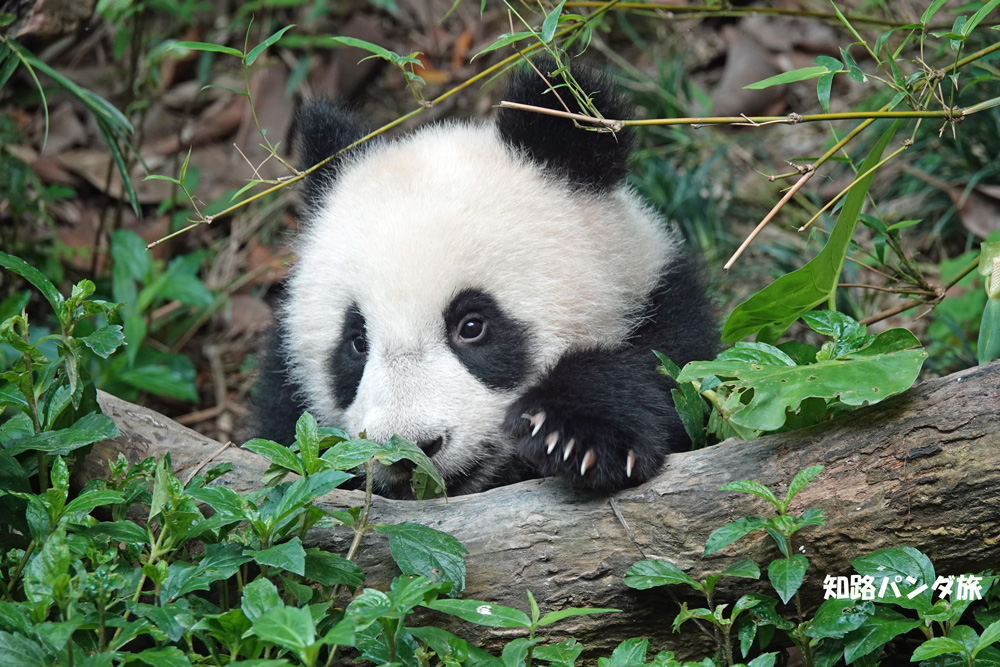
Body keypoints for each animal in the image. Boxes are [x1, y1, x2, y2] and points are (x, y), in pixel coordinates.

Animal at [254, 58, 717, 498]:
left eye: (473, 326)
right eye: (357, 342)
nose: (409, 450)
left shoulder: (664, 302)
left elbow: (673, 371)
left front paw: (577, 434)